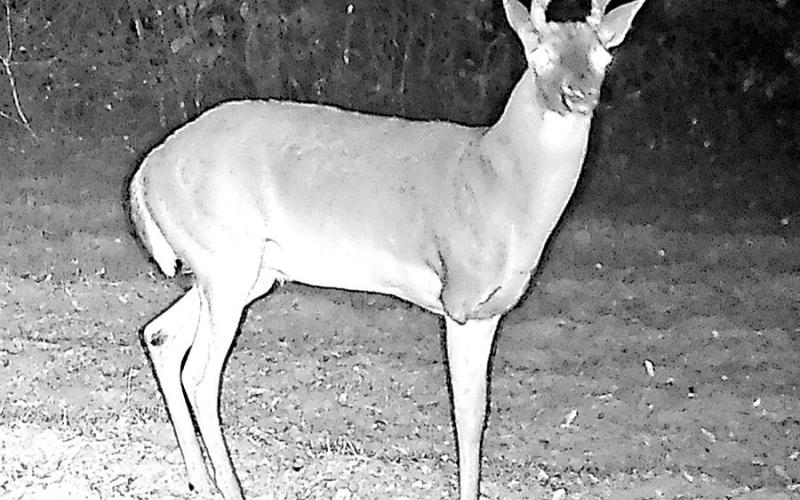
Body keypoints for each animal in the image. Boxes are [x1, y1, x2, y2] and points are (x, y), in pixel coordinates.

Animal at [128, 0, 647, 498]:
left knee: (160, 335)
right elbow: (466, 414)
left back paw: (200, 479)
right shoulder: (460, 297)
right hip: (225, 257)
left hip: (245, 269)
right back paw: (230, 486)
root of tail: (145, 173)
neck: (498, 185)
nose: (580, 96)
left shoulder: (493, 308)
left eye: (604, 56)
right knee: (199, 373)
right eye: (539, 53)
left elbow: (478, 411)